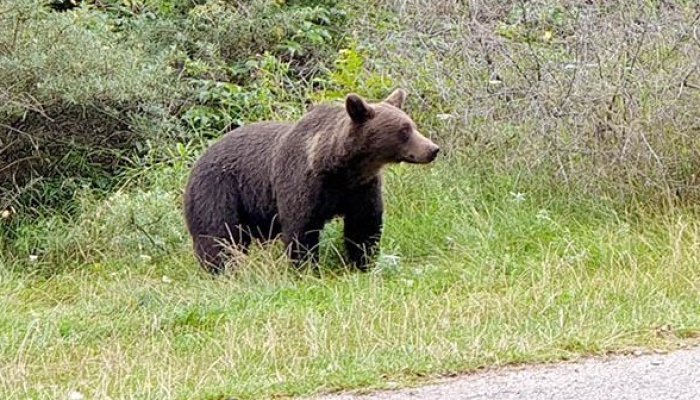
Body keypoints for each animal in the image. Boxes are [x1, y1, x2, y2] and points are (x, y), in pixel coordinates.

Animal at [183, 89, 440, 274]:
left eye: (412, 125)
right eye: (404, 131)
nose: (432, 149)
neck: (342, 170)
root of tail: (197, 161)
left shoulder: (361, 189)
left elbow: (363, 226)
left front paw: (364, 263)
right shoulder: (302, 183)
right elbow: (301, 228)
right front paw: (306, 269)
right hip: (218, 190)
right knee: (217, 235)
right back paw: (222, 271)